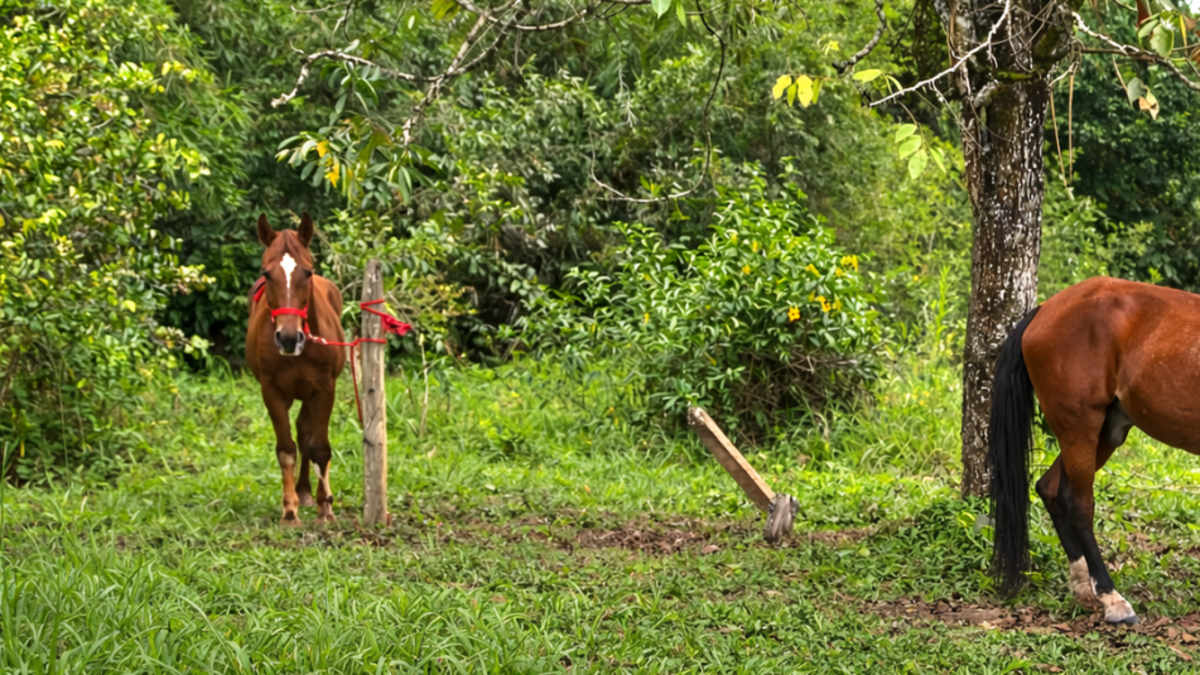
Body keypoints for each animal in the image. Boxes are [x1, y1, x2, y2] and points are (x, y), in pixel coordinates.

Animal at [246, 213, 345, 526]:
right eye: (267, 274)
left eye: (308, 273)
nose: (289, 338)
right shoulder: (271, 391)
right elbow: (286, 449)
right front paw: (290, 510)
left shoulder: (325, 389)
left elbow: (320, 447)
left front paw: (326, 507)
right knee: (301, 435)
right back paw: (301, 494)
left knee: (307, 435)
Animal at [986, 275, 1200, 624]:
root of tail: (1045, 310)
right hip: (1080, 427)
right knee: (1079, 505)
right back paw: (1112, 599)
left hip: (1104, 434)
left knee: (1049, 488)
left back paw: (1082, 585)